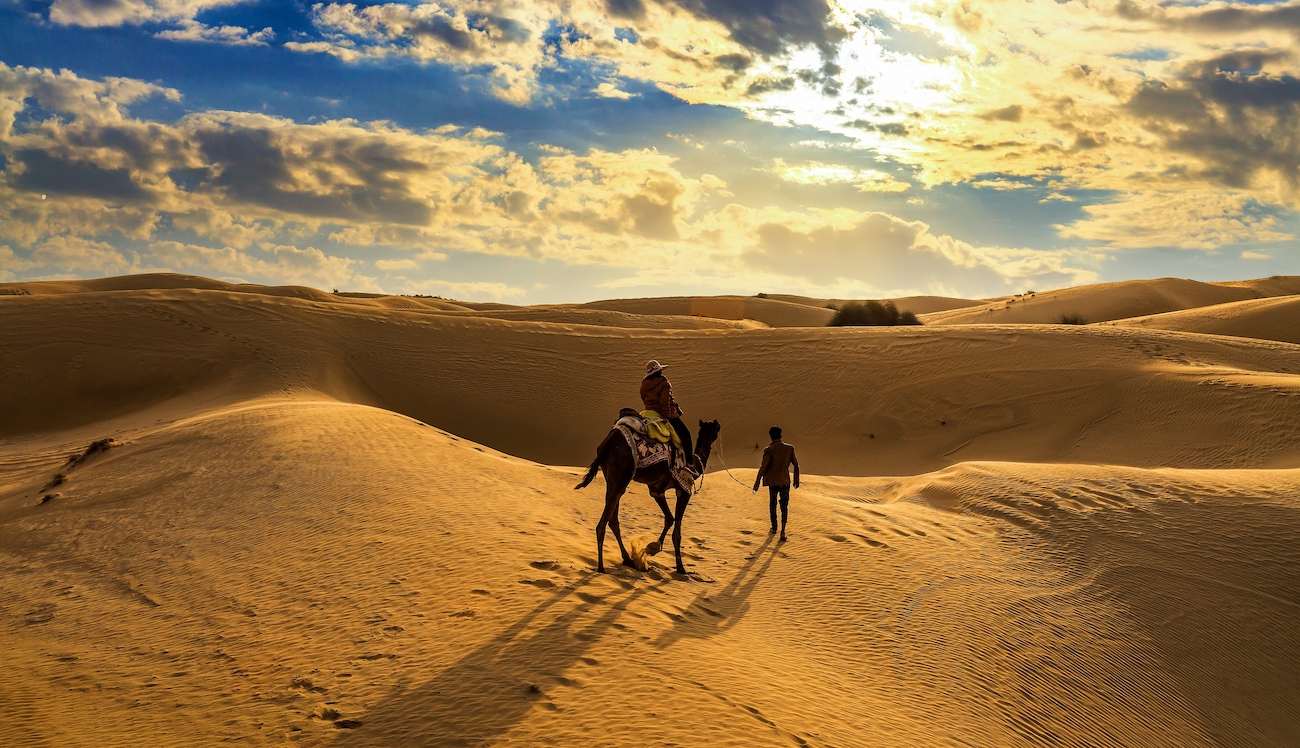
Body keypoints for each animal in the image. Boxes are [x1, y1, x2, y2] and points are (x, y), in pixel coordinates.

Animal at [577, 421, 722, 572]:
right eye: (715, 427)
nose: (718, 424)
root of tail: (608, 443)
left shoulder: (657, 491)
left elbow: (669, 518)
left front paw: (652, 548)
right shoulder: (684, 490)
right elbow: (676, 532)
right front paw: (680, 567)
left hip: (613, 482)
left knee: (613, 521)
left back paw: (628, 559)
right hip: (619, 477)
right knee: (602, 525)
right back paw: (601, 567)